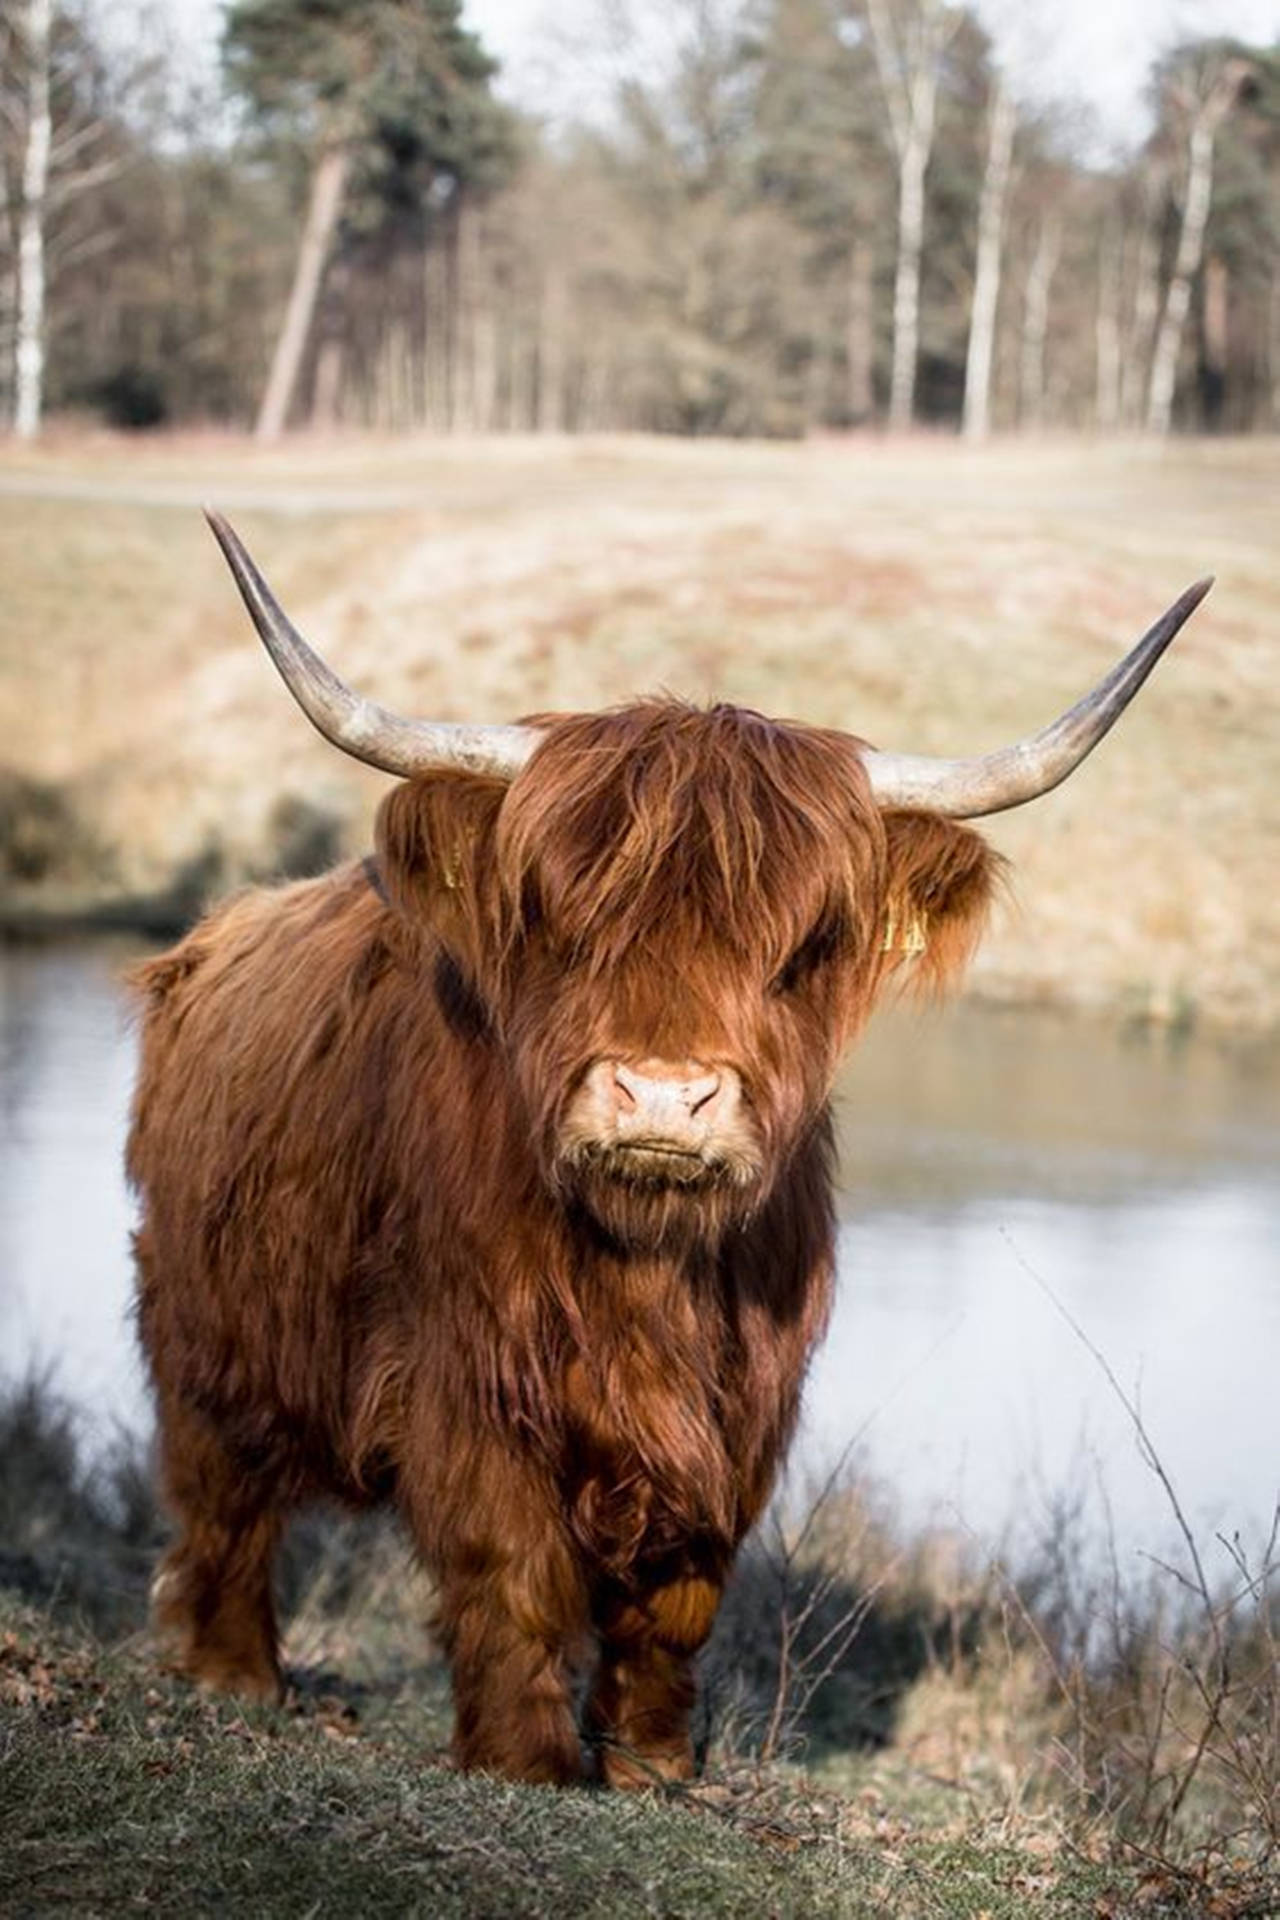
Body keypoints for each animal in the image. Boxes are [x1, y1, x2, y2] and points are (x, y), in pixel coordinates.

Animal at [127, 522, 1212, 1781]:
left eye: (805, 943)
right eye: (557, 918)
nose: (659, 1094)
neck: (646, 1270)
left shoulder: (746, 1402)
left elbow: (682, 1589)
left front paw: (652, 1764)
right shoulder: (464, 1375)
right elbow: (510, 1568)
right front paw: (526, 1761)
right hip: (203, 1327)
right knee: (223, 1496)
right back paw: (234, 1670)